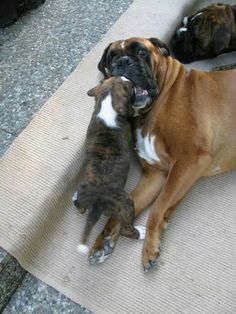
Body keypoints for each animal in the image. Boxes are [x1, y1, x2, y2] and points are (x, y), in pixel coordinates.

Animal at [88, 37, 236, 272]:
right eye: (112, 57)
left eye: (141, 51)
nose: (123, 62)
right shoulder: (154, 176)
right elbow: (125, 205)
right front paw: (103, 241)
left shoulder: (189, 160)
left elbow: (158, 207)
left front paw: (150, 247)